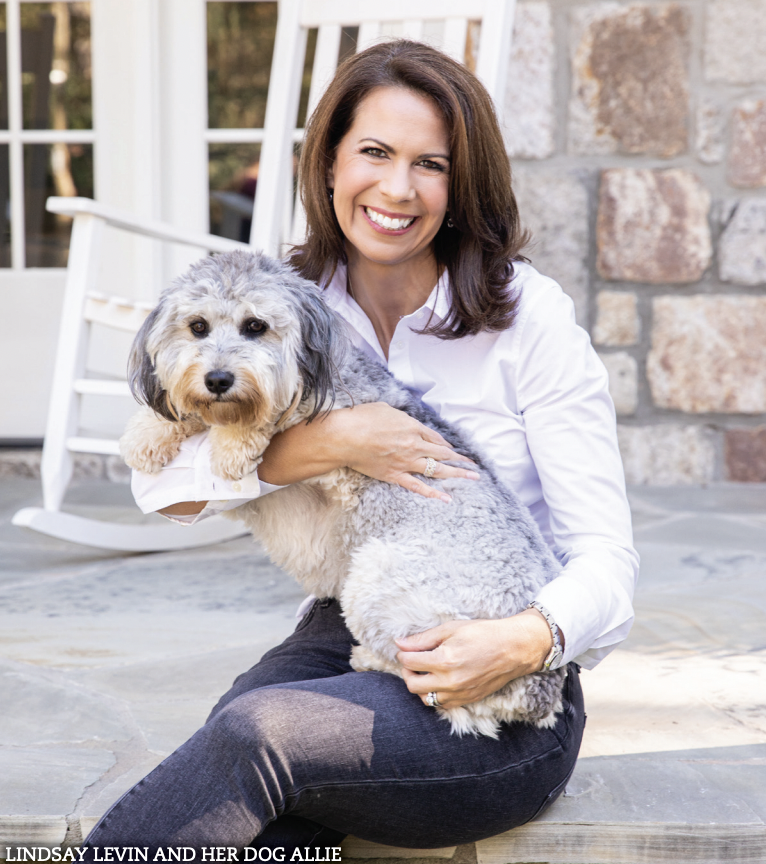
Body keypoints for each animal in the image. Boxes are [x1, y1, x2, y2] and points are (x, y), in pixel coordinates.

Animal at [123, 248, 568, 736]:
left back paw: (367, 657)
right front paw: (148, 433)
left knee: (424, 677)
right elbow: (187, 414)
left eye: (256, 326)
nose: (218, 380)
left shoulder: (331, 424)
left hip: (378, 580)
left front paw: (232, 444)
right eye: (197, 326)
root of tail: (539, 691)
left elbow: (268, 414)